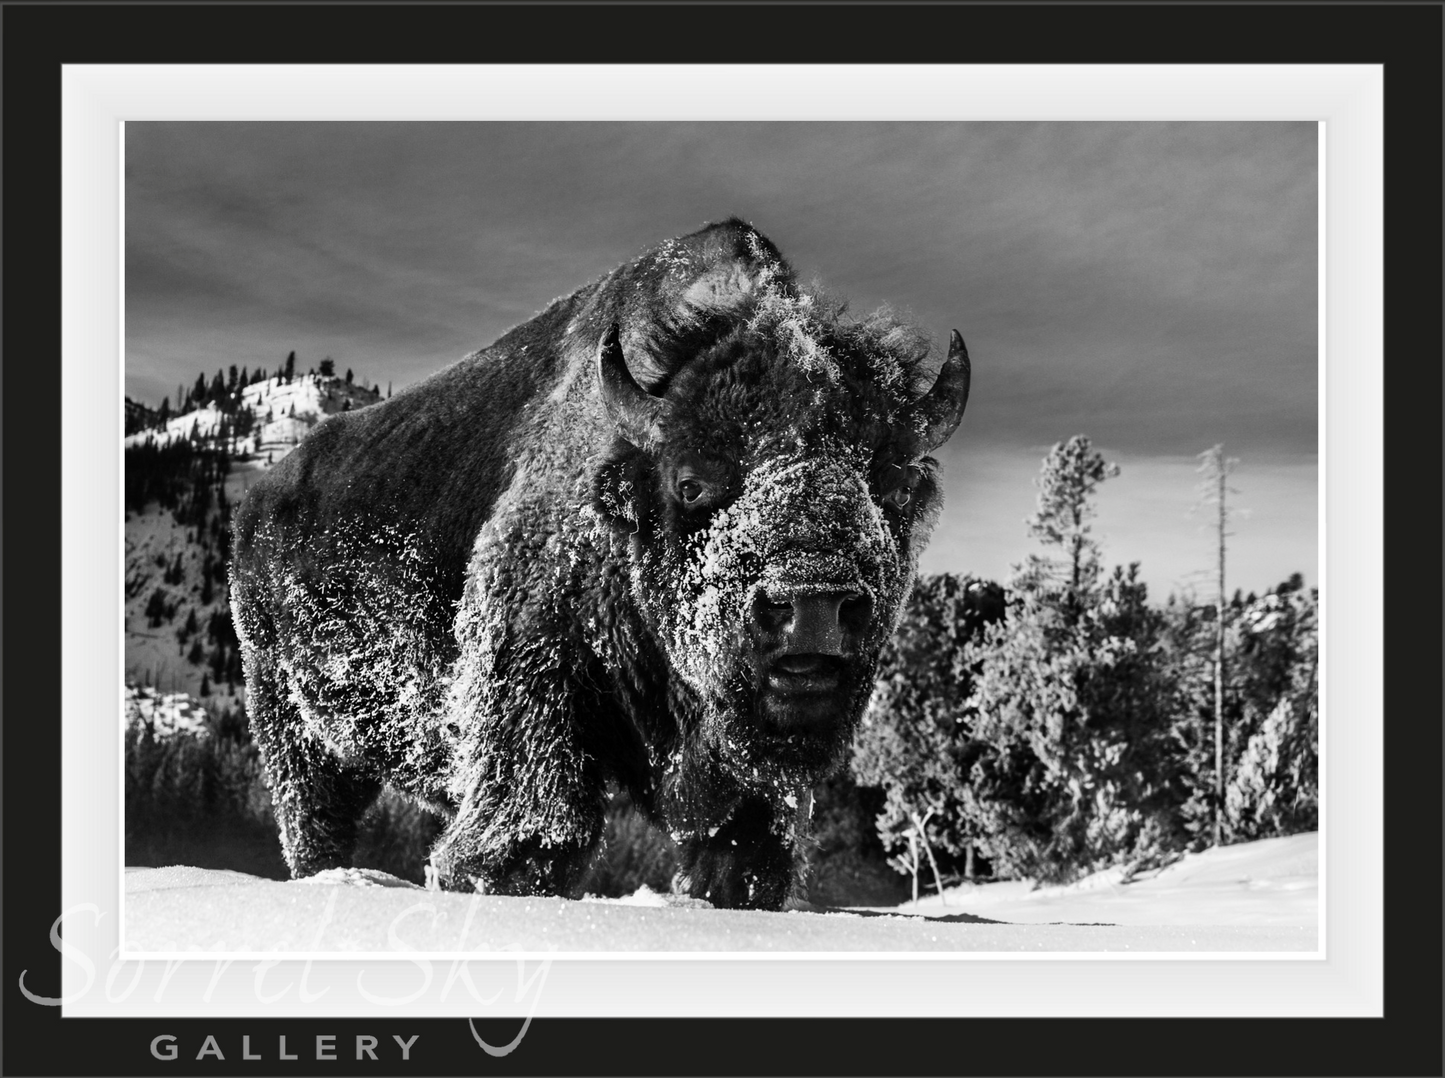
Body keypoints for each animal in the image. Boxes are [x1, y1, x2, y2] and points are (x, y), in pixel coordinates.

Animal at [234, 218, 971, 907]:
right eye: (690, 482)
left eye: (891, 486)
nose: (812, 604)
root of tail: (256, 502)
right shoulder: (532, 665)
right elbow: (535, 833)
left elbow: (748, 857)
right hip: (290, 727)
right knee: (315, 823)